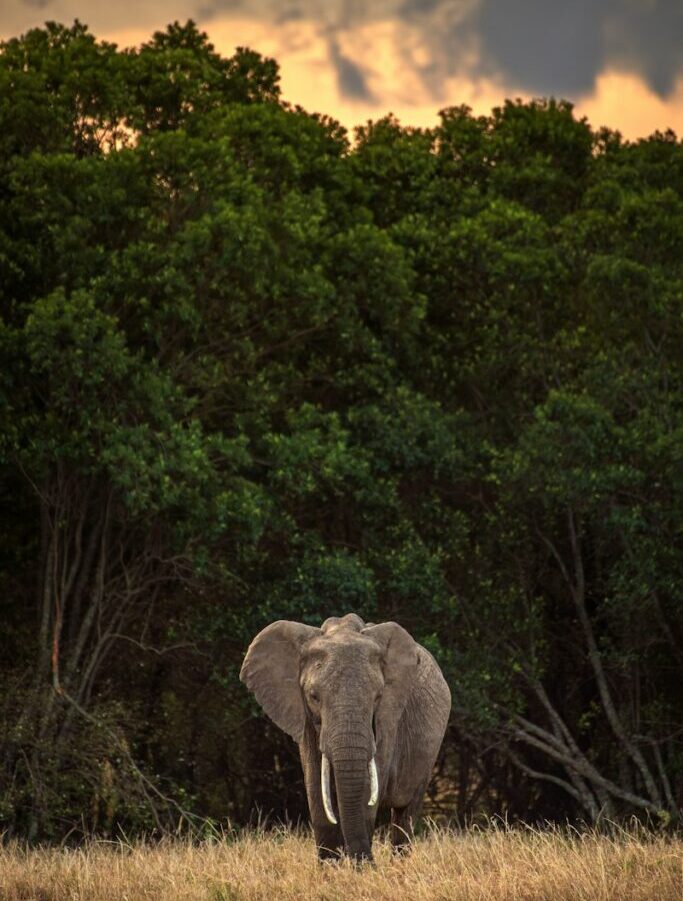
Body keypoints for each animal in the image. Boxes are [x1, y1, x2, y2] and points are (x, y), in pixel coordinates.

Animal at [240, 612, 451, 862]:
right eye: (313, 696)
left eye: (378, 696)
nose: (368, 863)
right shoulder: (305, 719)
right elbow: (315, 789)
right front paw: (331, 869)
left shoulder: (387, 721)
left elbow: (367, 790)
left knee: (406, 813)